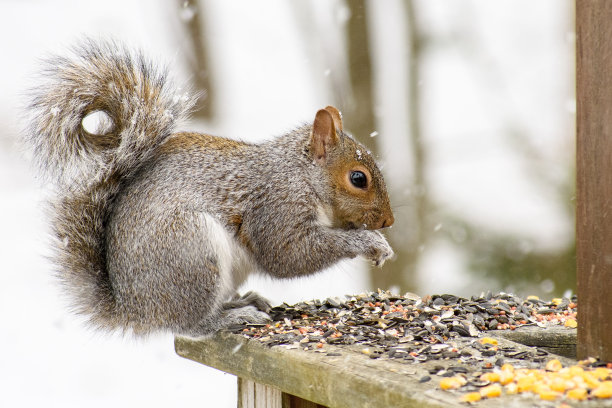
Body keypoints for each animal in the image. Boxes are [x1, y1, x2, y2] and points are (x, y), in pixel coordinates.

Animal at [25, 39, 392, 336]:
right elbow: (288, 255)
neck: (302, 175)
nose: (387, 221)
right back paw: (231, 318)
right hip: (191, 251)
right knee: (190, 325)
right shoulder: (277, 206)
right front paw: (371, 243)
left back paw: (242, 302)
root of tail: (135, 309)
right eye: (358, 178)